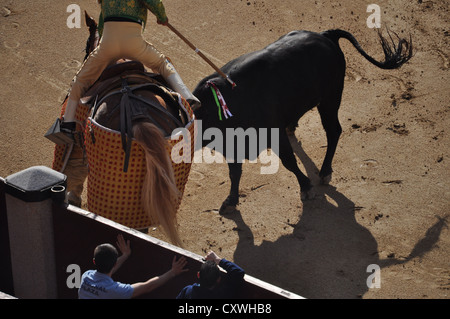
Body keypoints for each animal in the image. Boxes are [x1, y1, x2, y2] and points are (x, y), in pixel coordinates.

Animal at [192, 28, 414, 212]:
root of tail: (325, 35)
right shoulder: (232, 145)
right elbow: (235, 172)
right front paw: (230, 200)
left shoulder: (273, 134)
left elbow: (289, 161)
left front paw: (306, 187)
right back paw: (293, 127)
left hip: (330, 98)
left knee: (334, 130)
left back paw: (324, 172)